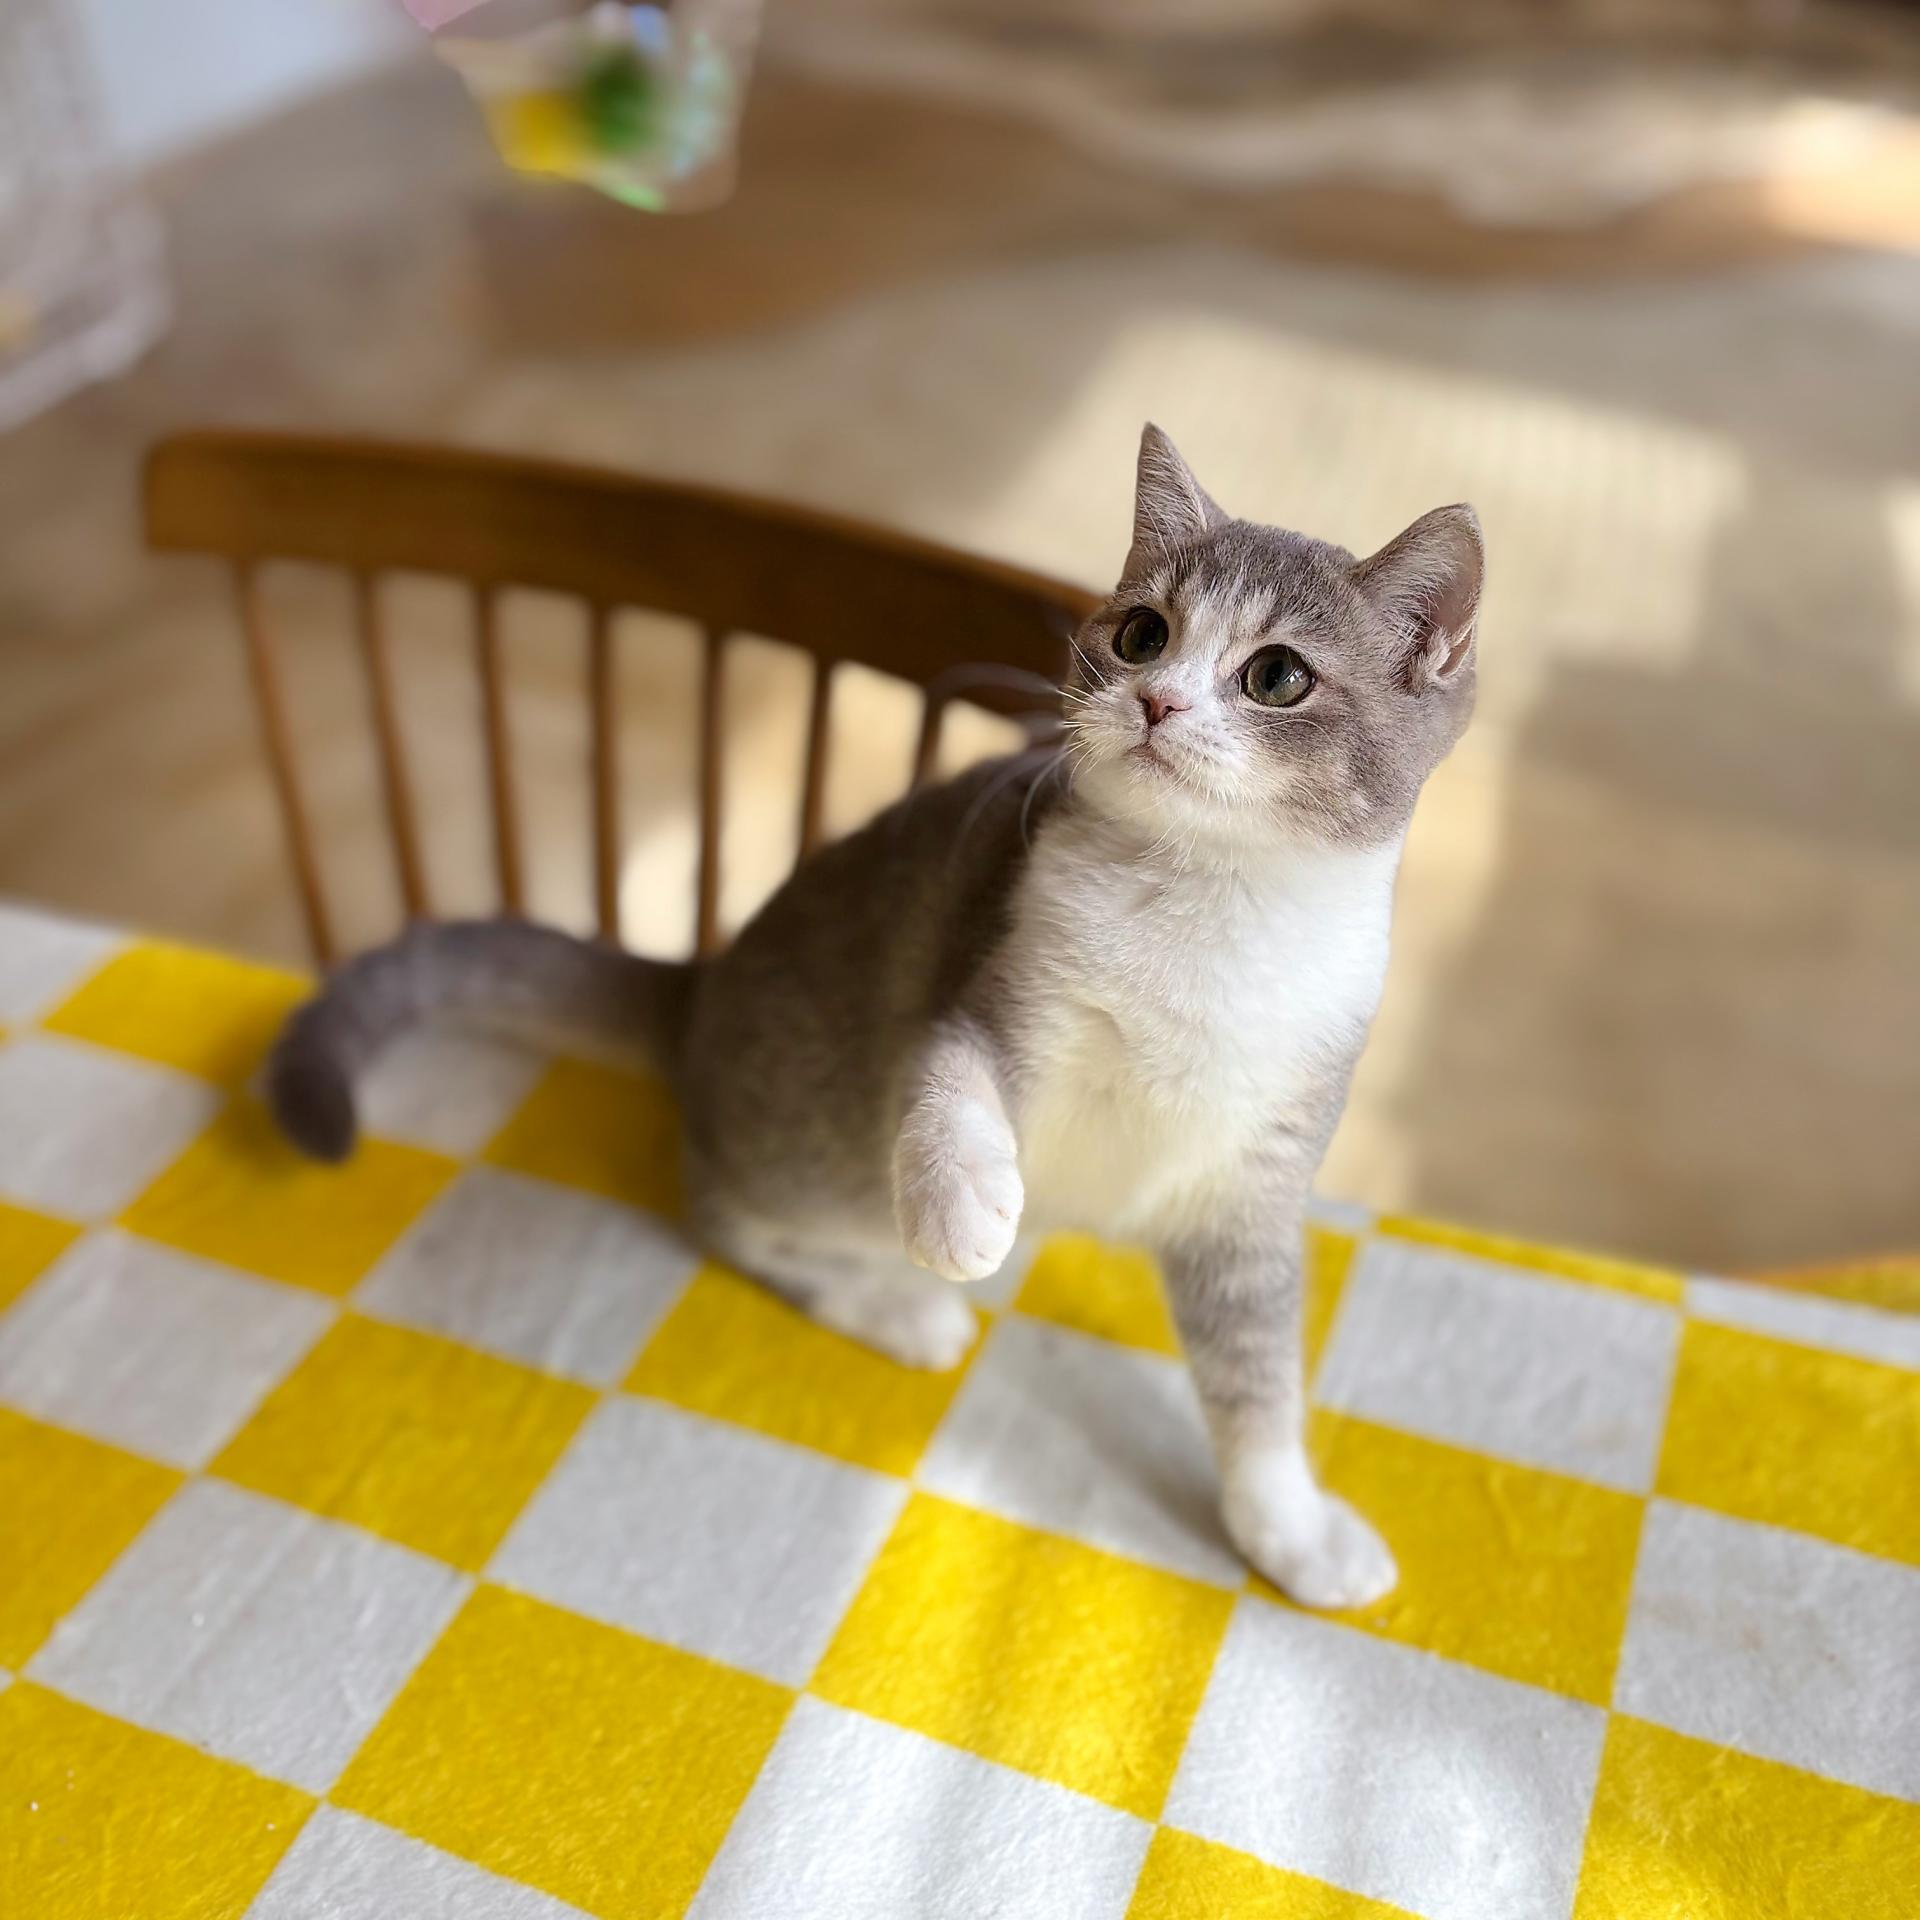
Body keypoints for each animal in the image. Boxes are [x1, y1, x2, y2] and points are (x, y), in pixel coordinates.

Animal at [269, 424, 1482, 1608]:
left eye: (1277, 675)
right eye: (1143, 632)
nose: (1157, 699)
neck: (1204, 911)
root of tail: (701, 983)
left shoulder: (1257, 1180)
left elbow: (1260, 1380)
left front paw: (1291, 1533)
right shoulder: (995, 971)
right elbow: (945, 1077)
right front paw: (960, 1210)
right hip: (823, 1150)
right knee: (730, 1215)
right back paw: (896, 1307)